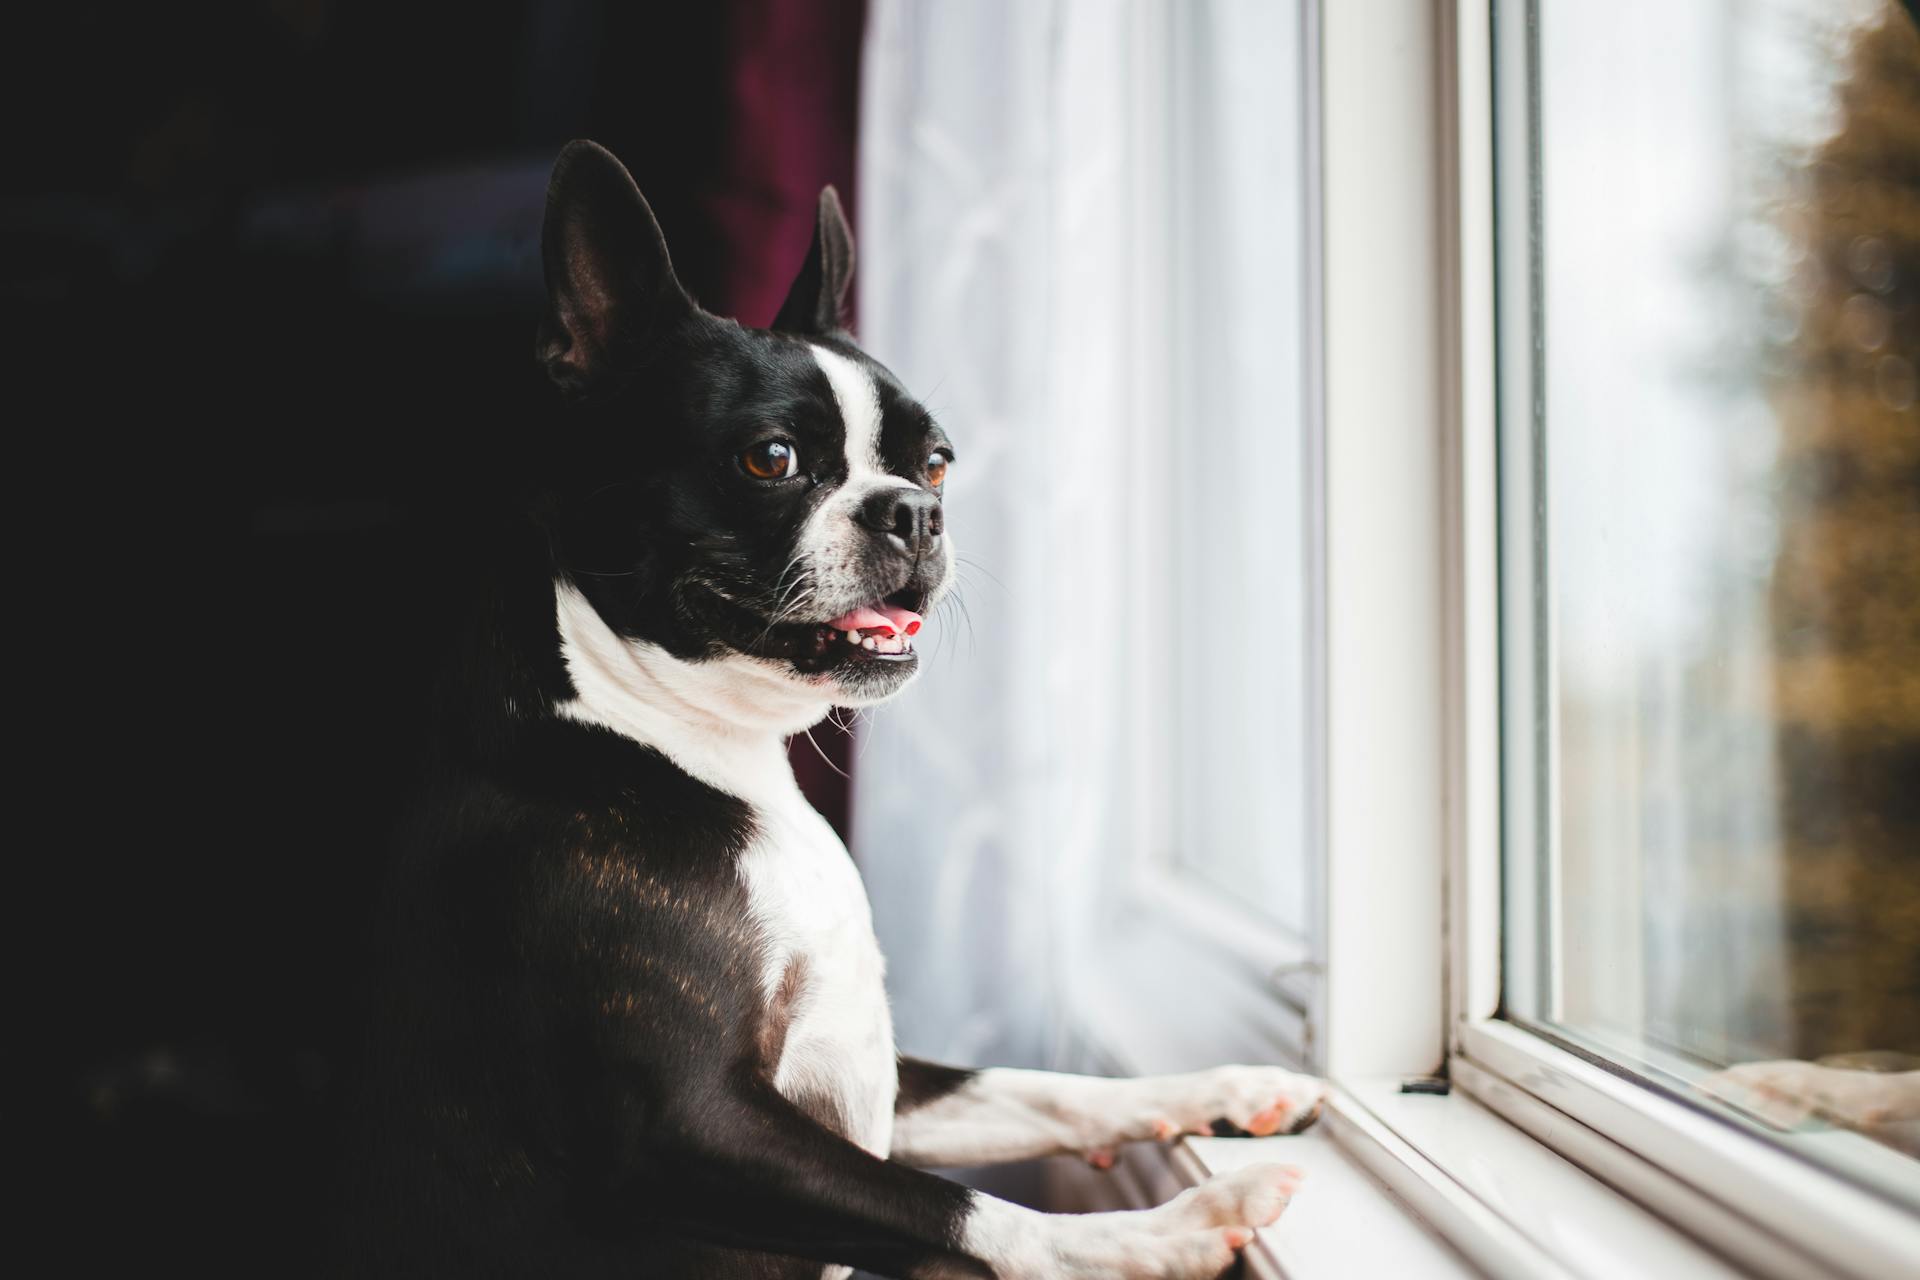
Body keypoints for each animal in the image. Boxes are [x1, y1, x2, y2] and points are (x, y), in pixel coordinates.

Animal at [353, 142, 1320, 1280]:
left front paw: (1220, 1087)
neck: (702, 743)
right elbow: (960, 1212)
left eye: (937, 460)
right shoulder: (688, 1126)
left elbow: (1027, 1087)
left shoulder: (867, 1077)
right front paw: (1160, 1231)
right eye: (770, 457)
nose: (914, 510)